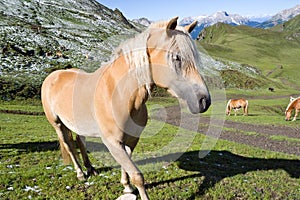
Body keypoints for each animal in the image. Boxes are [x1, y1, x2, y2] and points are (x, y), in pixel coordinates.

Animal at [41, 17, 211, 200]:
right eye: (177, 57)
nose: (204, 101)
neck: (120, 95)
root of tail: (53, 76)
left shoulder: (131, 139)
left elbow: (127, 167)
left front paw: (127, 187)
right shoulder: (113, 143)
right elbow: (137, 175)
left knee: (80, 141)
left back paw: (90, 169)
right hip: (57, 124)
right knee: (69, 146)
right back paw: (80, 173)